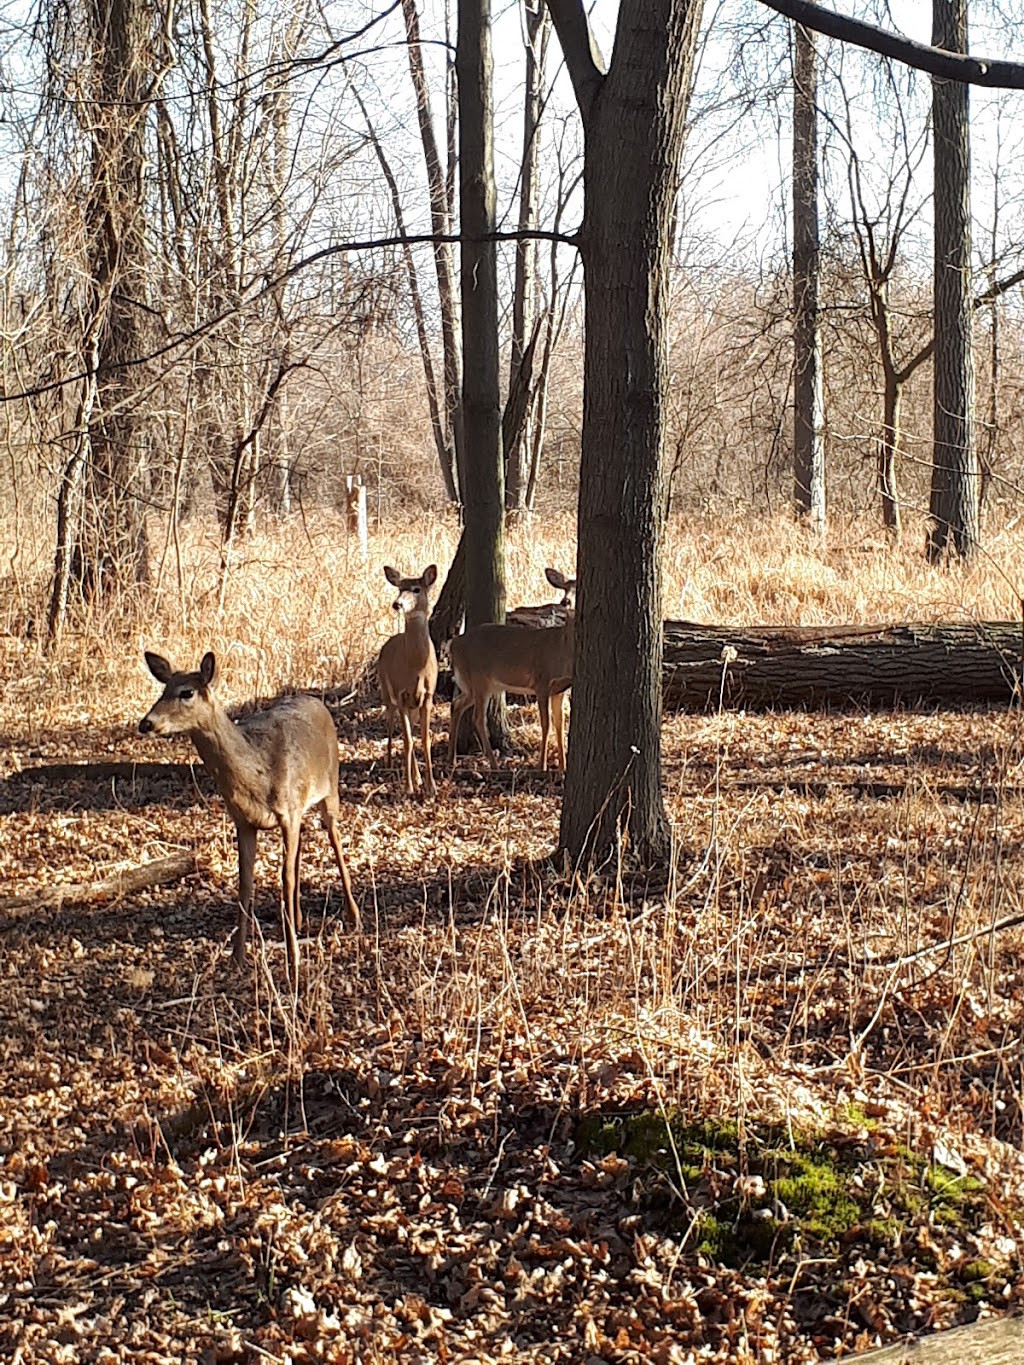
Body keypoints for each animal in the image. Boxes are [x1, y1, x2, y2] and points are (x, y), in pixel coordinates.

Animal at [136, 652, 360, 982]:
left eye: (186, 692)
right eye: (163, 689)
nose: (146, 723)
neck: (257, 773)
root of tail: (316, 702)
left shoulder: (287, 811)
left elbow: (285, 878)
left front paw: (293, 961)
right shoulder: (244, 821)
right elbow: (245, 883)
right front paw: (238, 958)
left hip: (329, 788)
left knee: (335, 840)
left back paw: (352, 916)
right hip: (302, 807)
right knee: (300, 850)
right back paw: (299, 919)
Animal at [379, 565, 439, 797]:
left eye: (416, 589)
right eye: (399, 588)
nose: (397, 604)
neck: (416, 668)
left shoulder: (428, 696)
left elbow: (424, 739)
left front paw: (431, 787)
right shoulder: (401, 693)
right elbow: (406, 741)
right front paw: (408, 787)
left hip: (413, 705)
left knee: (411, 732)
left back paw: (419, 778)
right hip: (387, 695)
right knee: (390, 727)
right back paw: (389, 763)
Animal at [447, 565, 578, 775]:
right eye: (565, 588)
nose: (565, 601)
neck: (560, 650)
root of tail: (454, 644)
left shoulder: (560, 689)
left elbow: (559, 725)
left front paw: (563, 767)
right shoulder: (541, 681)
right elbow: (546, 724)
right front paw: (542, 766)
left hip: (475, 684)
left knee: (457, 704)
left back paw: (452, 759)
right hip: (479, 679)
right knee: (478, 718)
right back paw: (493, 764)